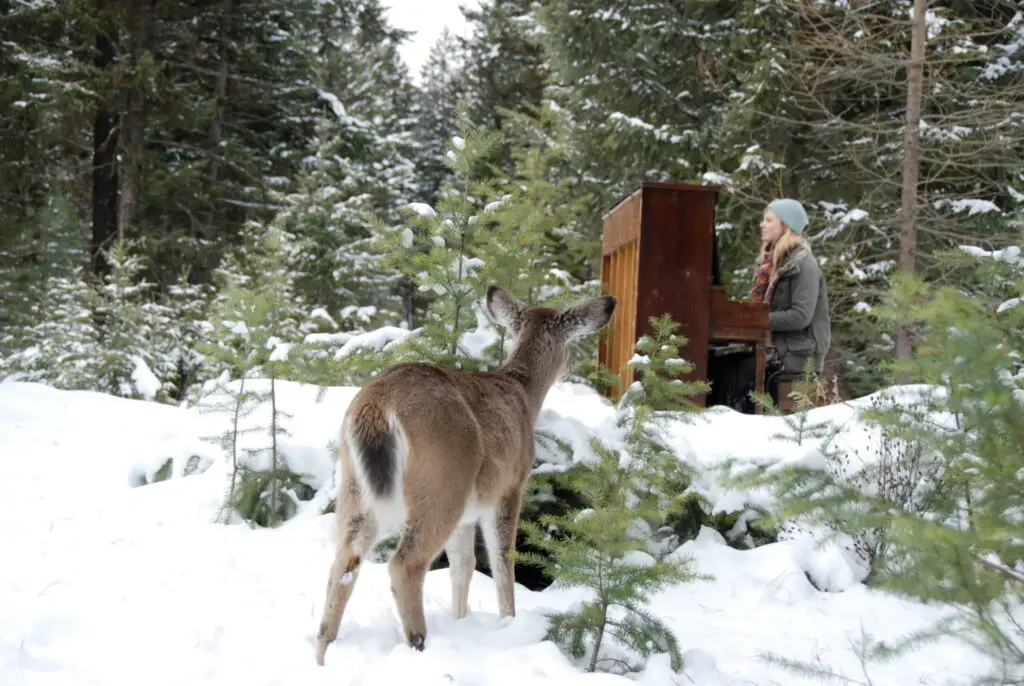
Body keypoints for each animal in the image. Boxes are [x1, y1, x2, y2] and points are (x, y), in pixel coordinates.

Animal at [311, 286, 614, 667]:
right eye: (571, 343)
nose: (570, 367)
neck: (523, 393)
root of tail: (377, 407)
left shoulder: (469, 513)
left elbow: (464, 565)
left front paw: (460, 618)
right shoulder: (509, 487)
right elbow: (502, 561)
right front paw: (508, 621)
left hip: (354, 488)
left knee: (343, 563)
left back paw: (323, 656)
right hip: (442, 481)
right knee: (404, 565)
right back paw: (418, 644)